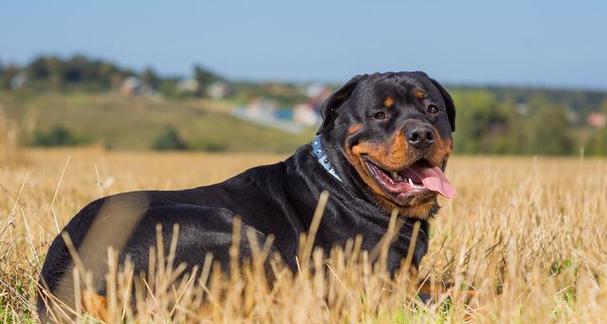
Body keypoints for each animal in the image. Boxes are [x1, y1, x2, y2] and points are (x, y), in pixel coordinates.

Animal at [38, 71, 456, 322]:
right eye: (379, 115)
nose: (421, 133)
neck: (346, 183)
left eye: (433, 109)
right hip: (232, 233)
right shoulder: (370, 280)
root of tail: (65, 275)